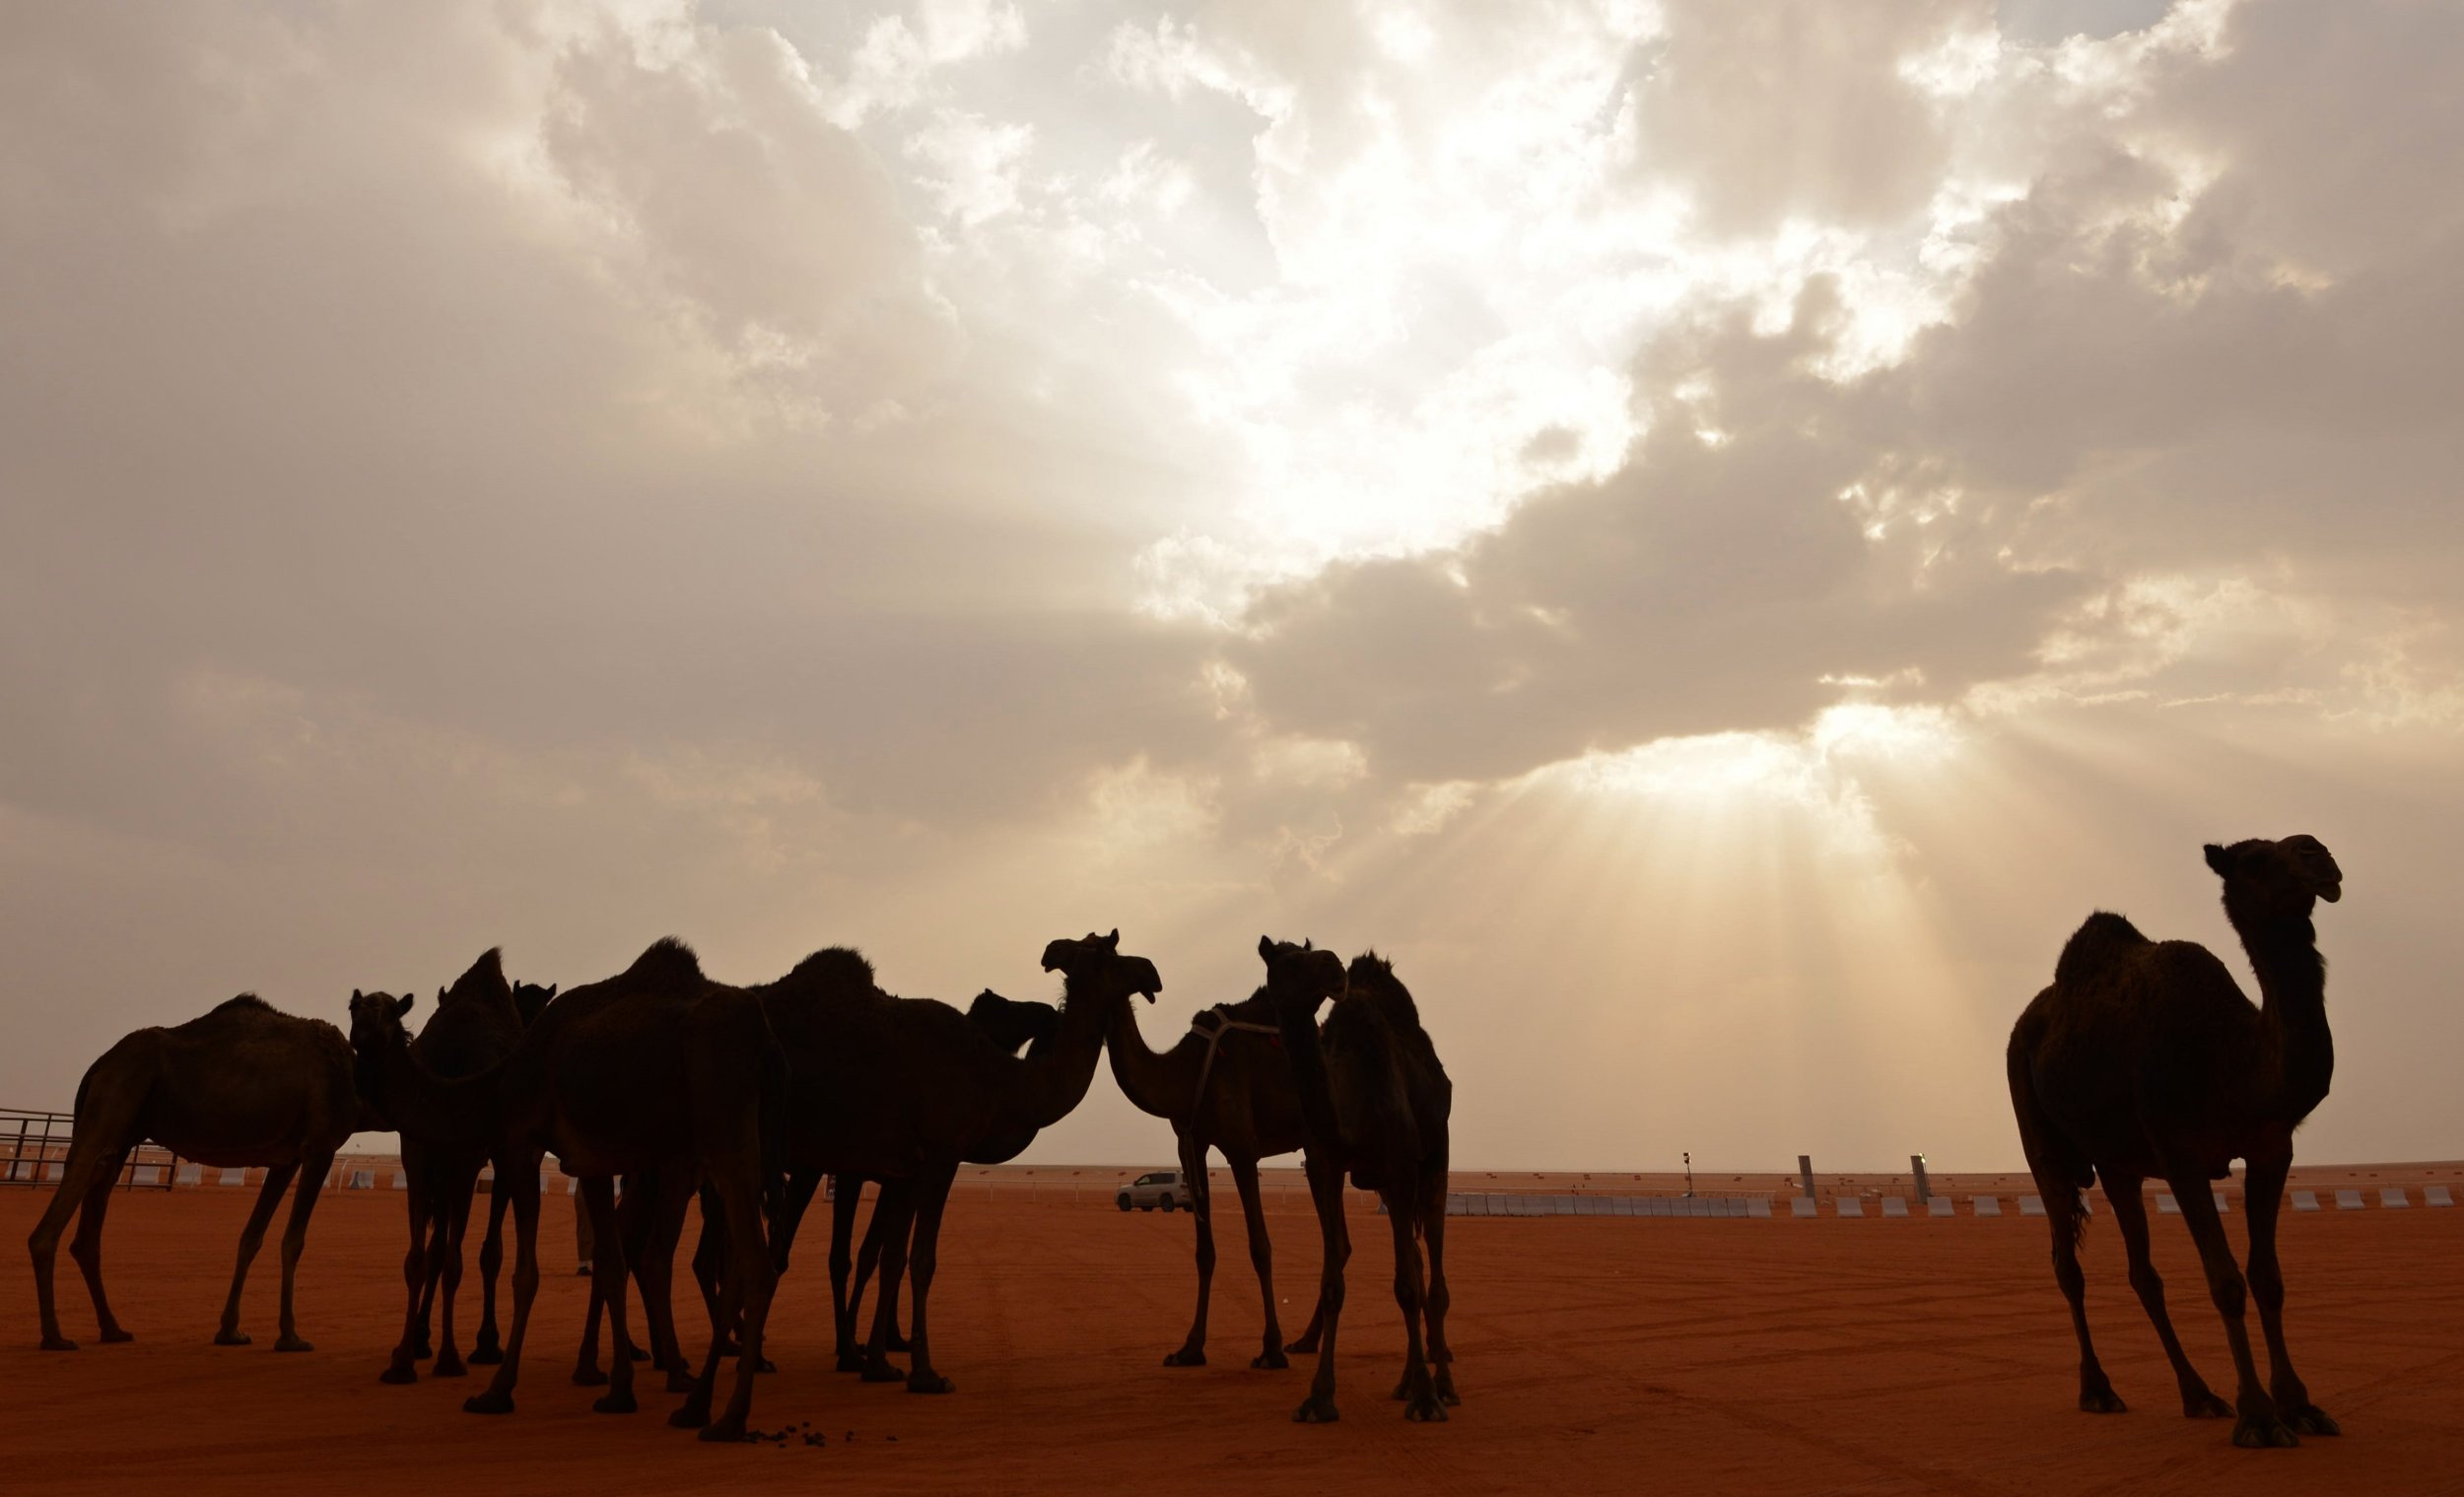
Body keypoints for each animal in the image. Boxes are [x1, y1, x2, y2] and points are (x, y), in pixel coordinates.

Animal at [30, 994, 360, 1359]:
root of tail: (99, 1065)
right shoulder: (320, 1143)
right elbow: (293, 1240)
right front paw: (290, 1337)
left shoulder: (286, 1157)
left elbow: (252, 1236)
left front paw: (231, 1331)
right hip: (114, 1098)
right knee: (58, 1214)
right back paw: (55, 1336)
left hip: (122, 1133)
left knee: (90, 1223)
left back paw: (112, 1329)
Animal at [347, 935, 784, 1438]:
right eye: (354, 1008)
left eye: (388, 1011)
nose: (364, 1031)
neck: (497, 1084)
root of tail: (764, 1036)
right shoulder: (591, 1161)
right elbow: (610, 1264)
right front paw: (617, 1391)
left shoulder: (520, 1145)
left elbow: (525, 1273)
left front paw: (495, 1391)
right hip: (740, 1141)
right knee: (734, 1260)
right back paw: (695, 1406)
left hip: (721, 1128)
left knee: (751, 1259)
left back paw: (728, 1417)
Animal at [1104, 975, 1321, 1359]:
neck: (1186, 1070)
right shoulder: (1190, 1142)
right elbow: (1204, 1251)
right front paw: (1190, 1347)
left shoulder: (1242, 1146)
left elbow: (1260, 1246)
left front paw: (1271, 1347)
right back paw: (1308, 1340)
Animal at [1262, 940, 1449, 1418]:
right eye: (1288, 959)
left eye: (1306, 949)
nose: (1333, 964)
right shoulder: (1325, 1166)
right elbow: (1334, 1278)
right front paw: (1318, 1398)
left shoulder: (1402, 1165)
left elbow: (1406, 1286)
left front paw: (1426, 1399)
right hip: (1383, 1180)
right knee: (1416, 1260)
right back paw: (1404, 1381)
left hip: (1435, 1154)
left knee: (1433, 1262)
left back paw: (1444, 1385)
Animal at [2001, 832, 2346, 1448]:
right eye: (2256, 860)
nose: (2317, 852)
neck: (2232, 1058)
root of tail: (2026, 1024)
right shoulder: (2181, 1154)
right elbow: (2225, 1280)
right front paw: (2259, 1418)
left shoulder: (2271, 1149)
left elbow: (2267, 1277)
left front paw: (2300, 1406)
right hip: (2038, 1136)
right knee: (2068, 1264)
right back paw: (2099, 1391)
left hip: (2119, 1164)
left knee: (2143, 1273)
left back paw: (2198, 1394)